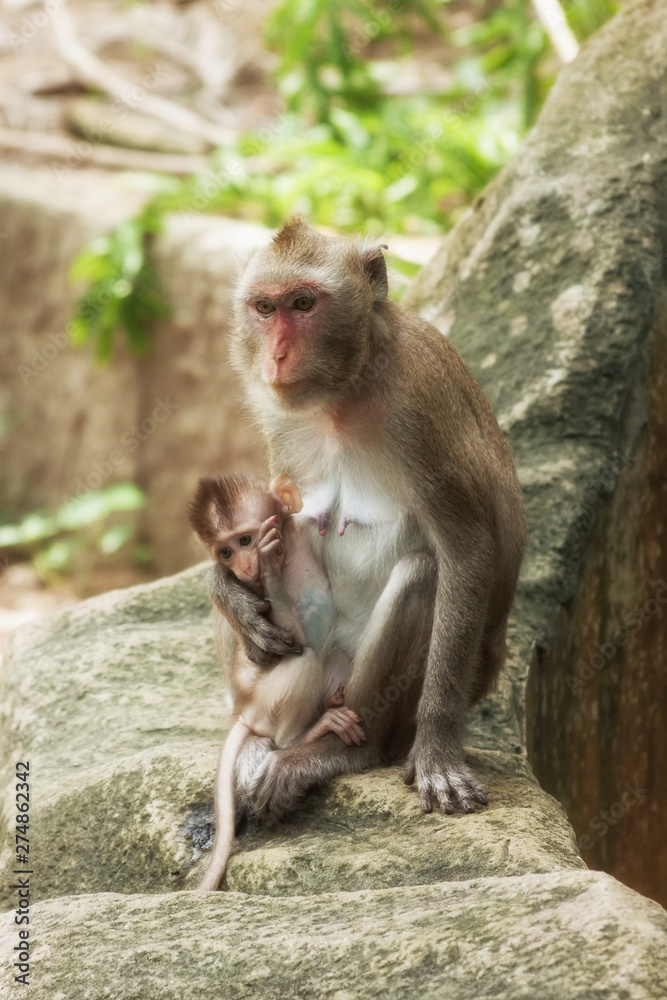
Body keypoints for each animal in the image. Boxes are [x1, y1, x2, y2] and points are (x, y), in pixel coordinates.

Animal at [188, 470, 366, 892]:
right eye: (225, 552)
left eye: (244, 541)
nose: (244, 565)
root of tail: (241, 709)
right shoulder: (256, 597)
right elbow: (290, 640)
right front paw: (263, 575)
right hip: (262, 699)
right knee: (304, 663)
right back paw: (307, 735)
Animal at [209, 215, 528, 816]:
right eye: (264, 308)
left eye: (303, 303)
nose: (276, 355)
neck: (346, 390)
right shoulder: (278, 418)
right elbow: (259, 527)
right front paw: (233, 598)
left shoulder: (419, 407)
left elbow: (468, 552)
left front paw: (437, 752)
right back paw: (263, 734)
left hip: (359, 687)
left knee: (423, 575)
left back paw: (341, 749)